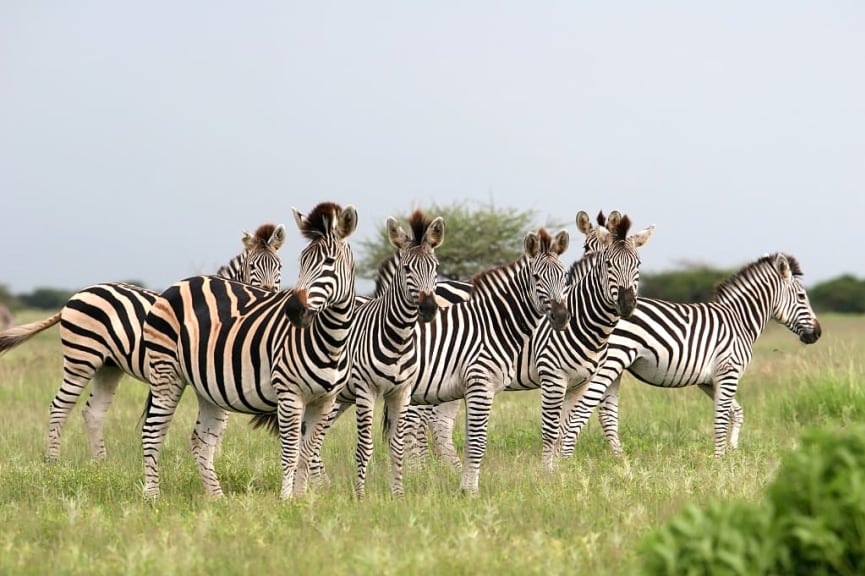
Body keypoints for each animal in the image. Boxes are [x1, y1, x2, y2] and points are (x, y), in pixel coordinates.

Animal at [0, 223, 286, 462]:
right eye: (252, 267)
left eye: (279, 267)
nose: (269, 292)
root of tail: (78, 295)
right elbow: (220, 422)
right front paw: (215, 460)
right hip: (81, 358)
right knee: (59, 406)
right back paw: (53, 462)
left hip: (108, 366)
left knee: (93, 411)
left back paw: (101, 465)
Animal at [142, 202, 358, 500]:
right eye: (301, 261)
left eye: (329, 262)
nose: (294, 311)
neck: (331, 340)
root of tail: (178, 284)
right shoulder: (289, 395)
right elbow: (290, 454)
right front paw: (286, 501)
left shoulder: (324, 401)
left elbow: (306, 454)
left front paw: (303, 500)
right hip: (166, 372)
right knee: (152, 433)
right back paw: (153, 498)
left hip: (208, 387)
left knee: (201, 440)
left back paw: (218, 499)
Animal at [400, 225, 572, 496]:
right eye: (536, 278)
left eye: (564, 277)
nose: (562, 317)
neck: (493, 322)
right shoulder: (486, 383)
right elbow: (479, 441)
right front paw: (471, 492)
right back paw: (416, 473)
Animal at [412, 209, 656, 470]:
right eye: (608, 263)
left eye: (638, 264)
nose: (627, 303)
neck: (583, 317)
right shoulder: (553, 376)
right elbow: (551, 430)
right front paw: (547, 472)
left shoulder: (580, 381)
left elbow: (564, 427)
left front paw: (560, 469)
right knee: (417, 419)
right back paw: (420, 468)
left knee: (436, 422)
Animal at [556, 252, 820, 460]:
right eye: (802, 297)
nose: (817, 333)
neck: (739, 320)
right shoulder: (728, 372)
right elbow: (720, 420)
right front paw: (719, 462)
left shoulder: (709, 380)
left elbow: (736, 413)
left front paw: (733, 449)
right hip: (606, 365)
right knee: (579, 411)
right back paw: (567, 461)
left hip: (613, 368)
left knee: (604, 415)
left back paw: (618, 460)